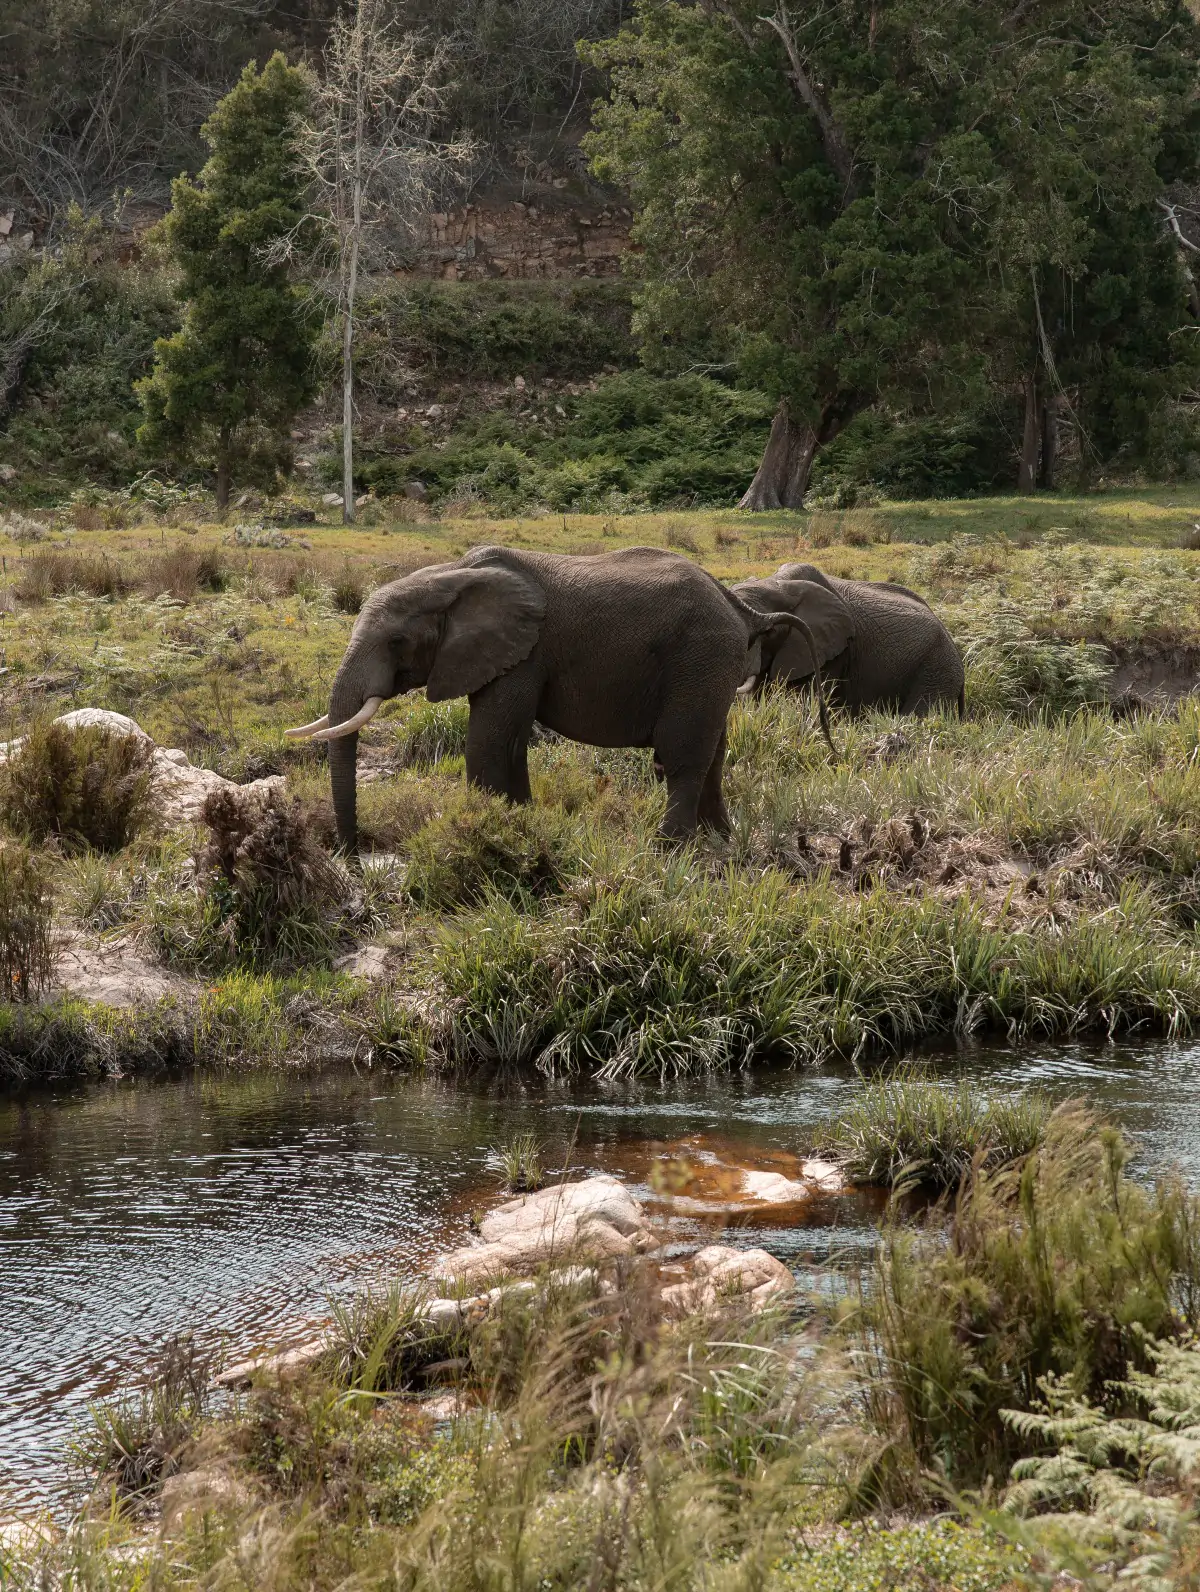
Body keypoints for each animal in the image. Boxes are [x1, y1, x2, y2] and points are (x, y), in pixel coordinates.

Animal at [288, 544, 833, 853]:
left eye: (397, 641)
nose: (351, 853)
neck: (452, 576)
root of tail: (741, 609)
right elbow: (508, 742)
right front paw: (519, 823)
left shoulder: (525, 653)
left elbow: (490, 739)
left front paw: (487, 831)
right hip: (712, 667)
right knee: (714, 750)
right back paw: (720, 841)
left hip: (700, 655)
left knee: (682, 755)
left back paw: (669, 851)